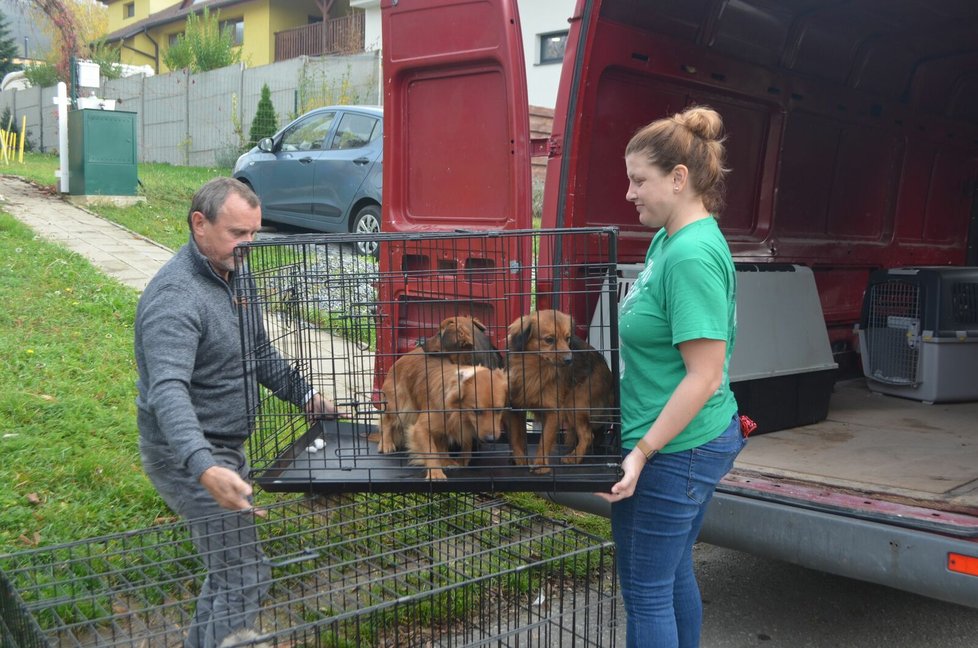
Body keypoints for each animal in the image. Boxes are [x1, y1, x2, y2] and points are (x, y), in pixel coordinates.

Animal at [508, 308, 612, 470]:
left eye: (567, 338)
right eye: (549, 340)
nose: (570, 360)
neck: (536, 369)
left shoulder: (554, 410)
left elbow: (545, 440)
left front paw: (541, 465)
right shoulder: (516, 407)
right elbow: (515, 437)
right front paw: (519, 458)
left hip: (575, 403)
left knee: (587, 435)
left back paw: (574, 457)